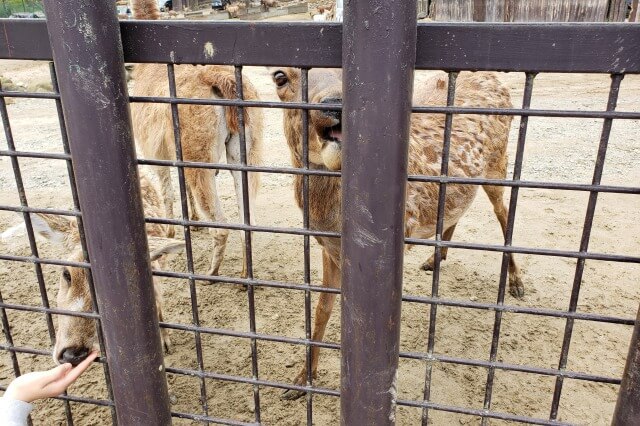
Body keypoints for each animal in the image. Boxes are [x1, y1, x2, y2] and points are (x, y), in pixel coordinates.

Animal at [270, 68, 524, 398]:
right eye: (279, 77)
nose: (335, 104)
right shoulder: (328, 247)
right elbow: (323, 308)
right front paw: (302, 379)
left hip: (498, 163)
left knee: (504, 214)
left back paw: (516, 281)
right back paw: (435, 258)